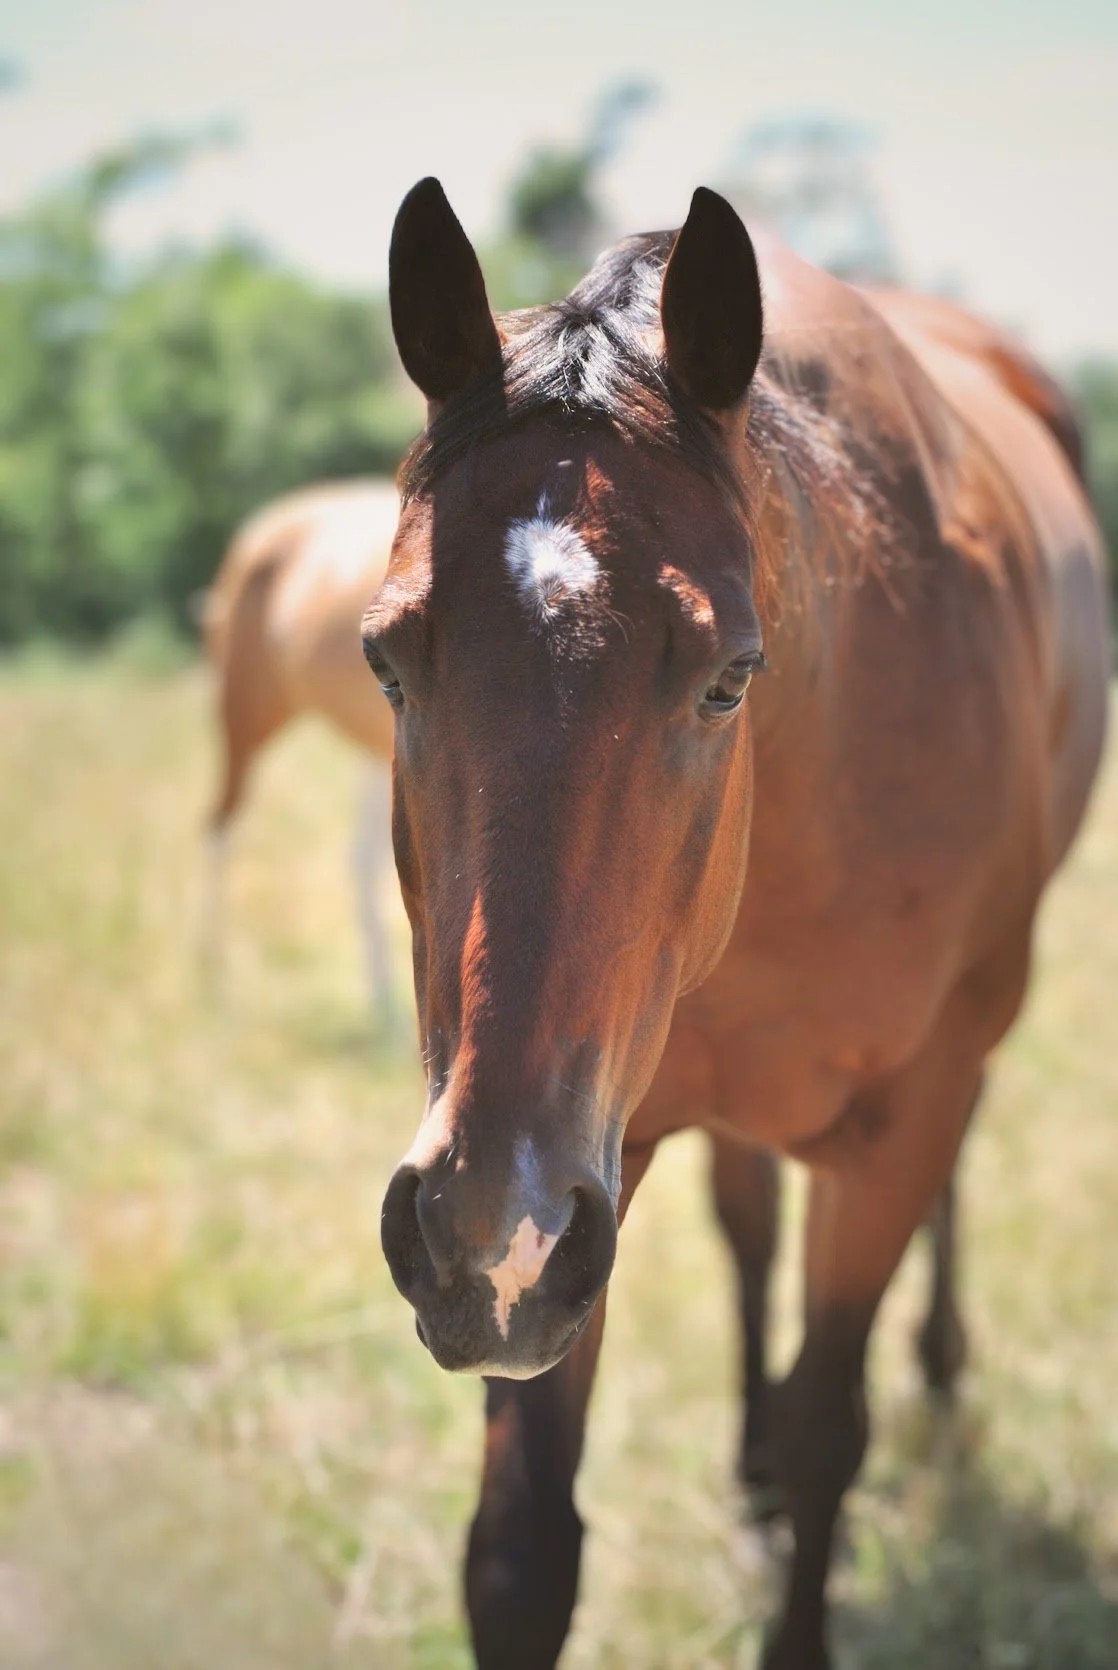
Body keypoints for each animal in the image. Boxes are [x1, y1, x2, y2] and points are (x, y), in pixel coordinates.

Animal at [366, 180, 1110, 1669]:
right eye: (382, 661)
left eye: (726, 679)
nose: (480, 1228)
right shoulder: (589, 1164)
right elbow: (521, 1549)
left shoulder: (894, 1120)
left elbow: (835, 1422)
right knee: (749, 1225)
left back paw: (937, 1371)